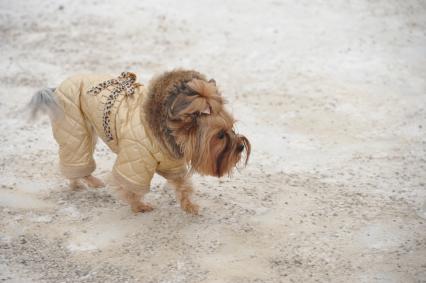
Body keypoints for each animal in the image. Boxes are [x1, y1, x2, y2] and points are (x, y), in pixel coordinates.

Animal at [29, 70, 250, 214]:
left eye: (232, 128)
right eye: (220, 135)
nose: (240, 146)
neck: (166, 132)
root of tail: (56, 88)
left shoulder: (171, 162)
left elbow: (182, 185)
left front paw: (189, 206)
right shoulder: (136, 158)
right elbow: (130, 187)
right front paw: (139, 206)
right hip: (75, 128)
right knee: (75, 158)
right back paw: (87, 182)